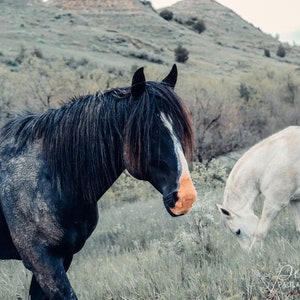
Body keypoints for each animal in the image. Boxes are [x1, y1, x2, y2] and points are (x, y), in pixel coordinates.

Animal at [0, 64, 197, 298]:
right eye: (149, 132)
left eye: (180, 128)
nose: (185, 197)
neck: (53, 177)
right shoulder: (43, 262)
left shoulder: (62, 258)